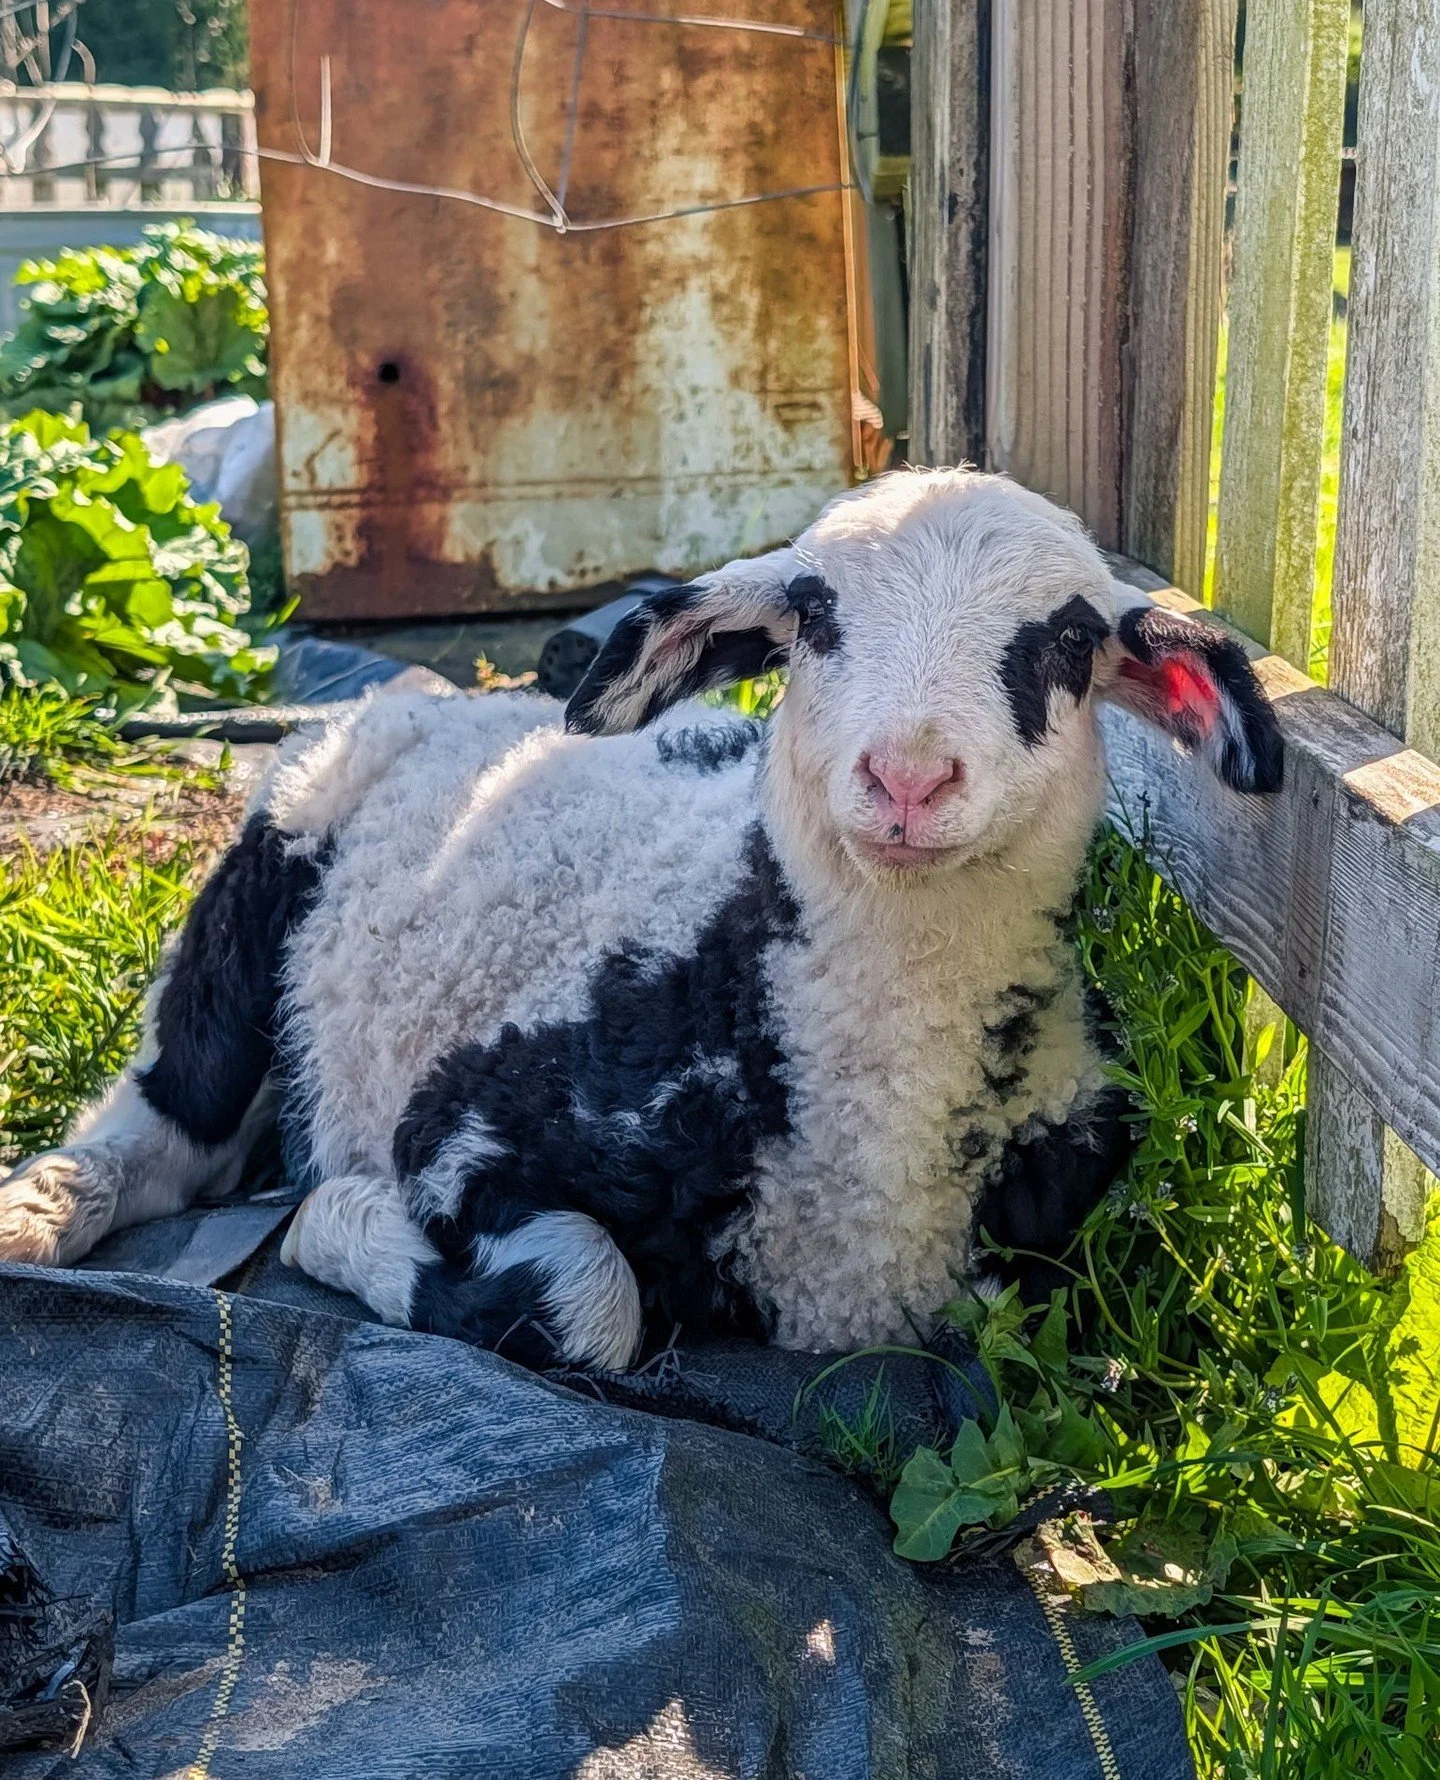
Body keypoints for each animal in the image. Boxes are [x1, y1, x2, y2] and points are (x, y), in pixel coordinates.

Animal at [0, 470, 1282, 1370]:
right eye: (814, 615)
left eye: (1066, 640)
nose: (909, 778)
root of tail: (456, 702)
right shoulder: (462, 1123)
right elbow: (590, 1300)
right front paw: (335, 1221)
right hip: (277, 851)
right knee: (174, 1111)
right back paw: (41, 1212)